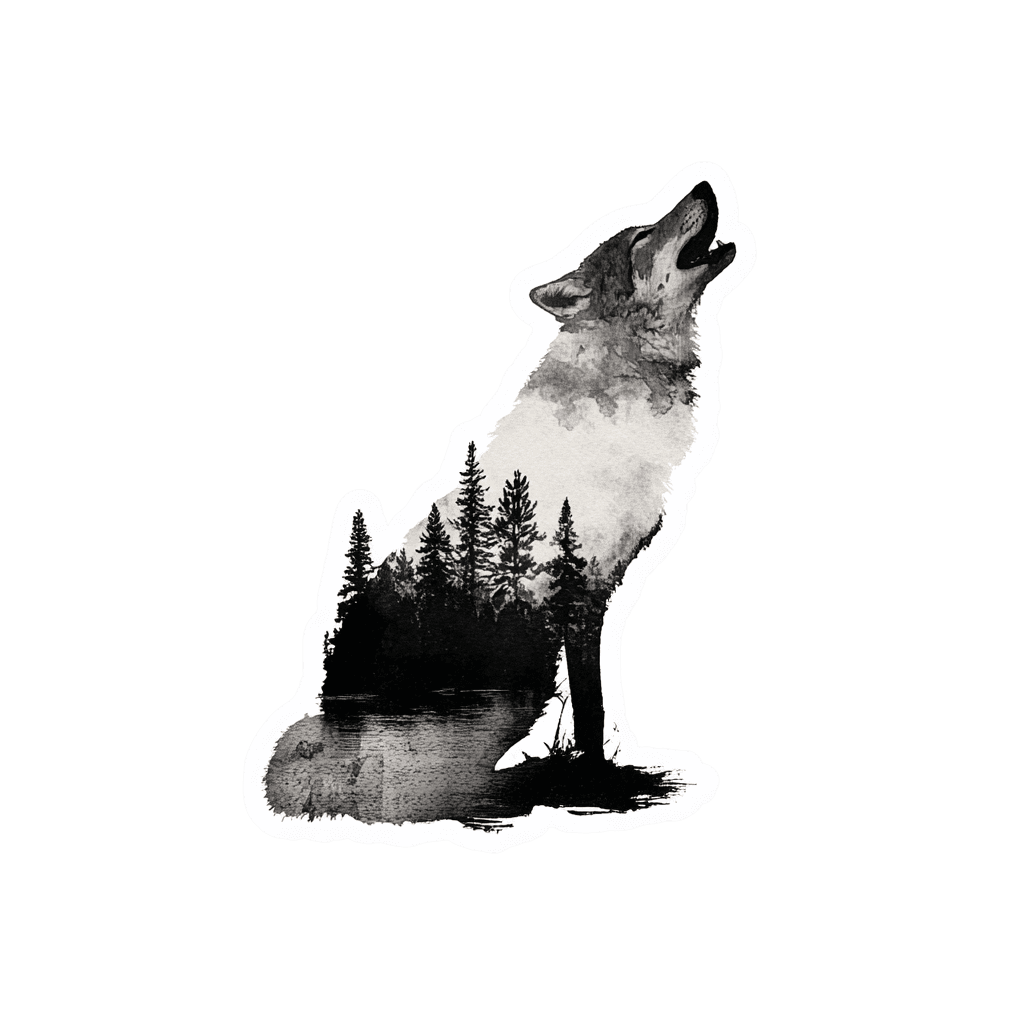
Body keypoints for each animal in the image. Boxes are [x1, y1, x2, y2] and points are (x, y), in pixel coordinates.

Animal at [244, 163, 755, 850]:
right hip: (507, 681)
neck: (628, 368)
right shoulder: (581, 589)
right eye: (643, 234)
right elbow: (593, 707)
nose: (705, 182)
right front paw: (596, 785)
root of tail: (327, 742)